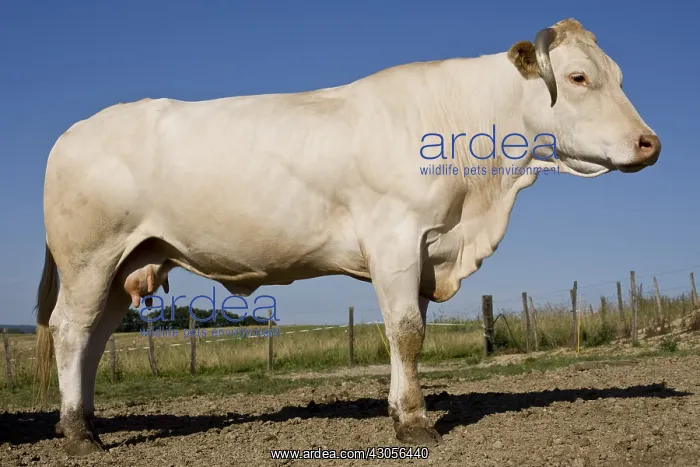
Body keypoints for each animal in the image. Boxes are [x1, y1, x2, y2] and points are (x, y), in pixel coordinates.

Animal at [34, 18, 660, 455]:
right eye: (578, 77)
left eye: (620, 78)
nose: (649, 142)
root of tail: (73, 133)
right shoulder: (395, 237)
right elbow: (405, 332)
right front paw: (416, 422)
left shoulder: (426, 252)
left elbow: (408, 333)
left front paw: (399, 412)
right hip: (89, 257)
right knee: (70, 332)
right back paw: (78, 434)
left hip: (128, 263)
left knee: (94, 340)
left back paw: (87, 421)